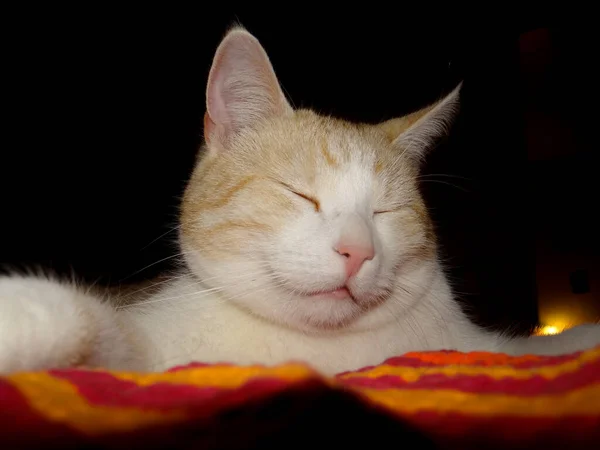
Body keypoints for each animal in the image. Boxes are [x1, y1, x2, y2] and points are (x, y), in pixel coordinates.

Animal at [1, 26, 600, 374]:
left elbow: (553, 346)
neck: (322, 353)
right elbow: (98, 331)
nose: (358, 252)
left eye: (385, 211)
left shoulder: (480, 346)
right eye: (300, 194)